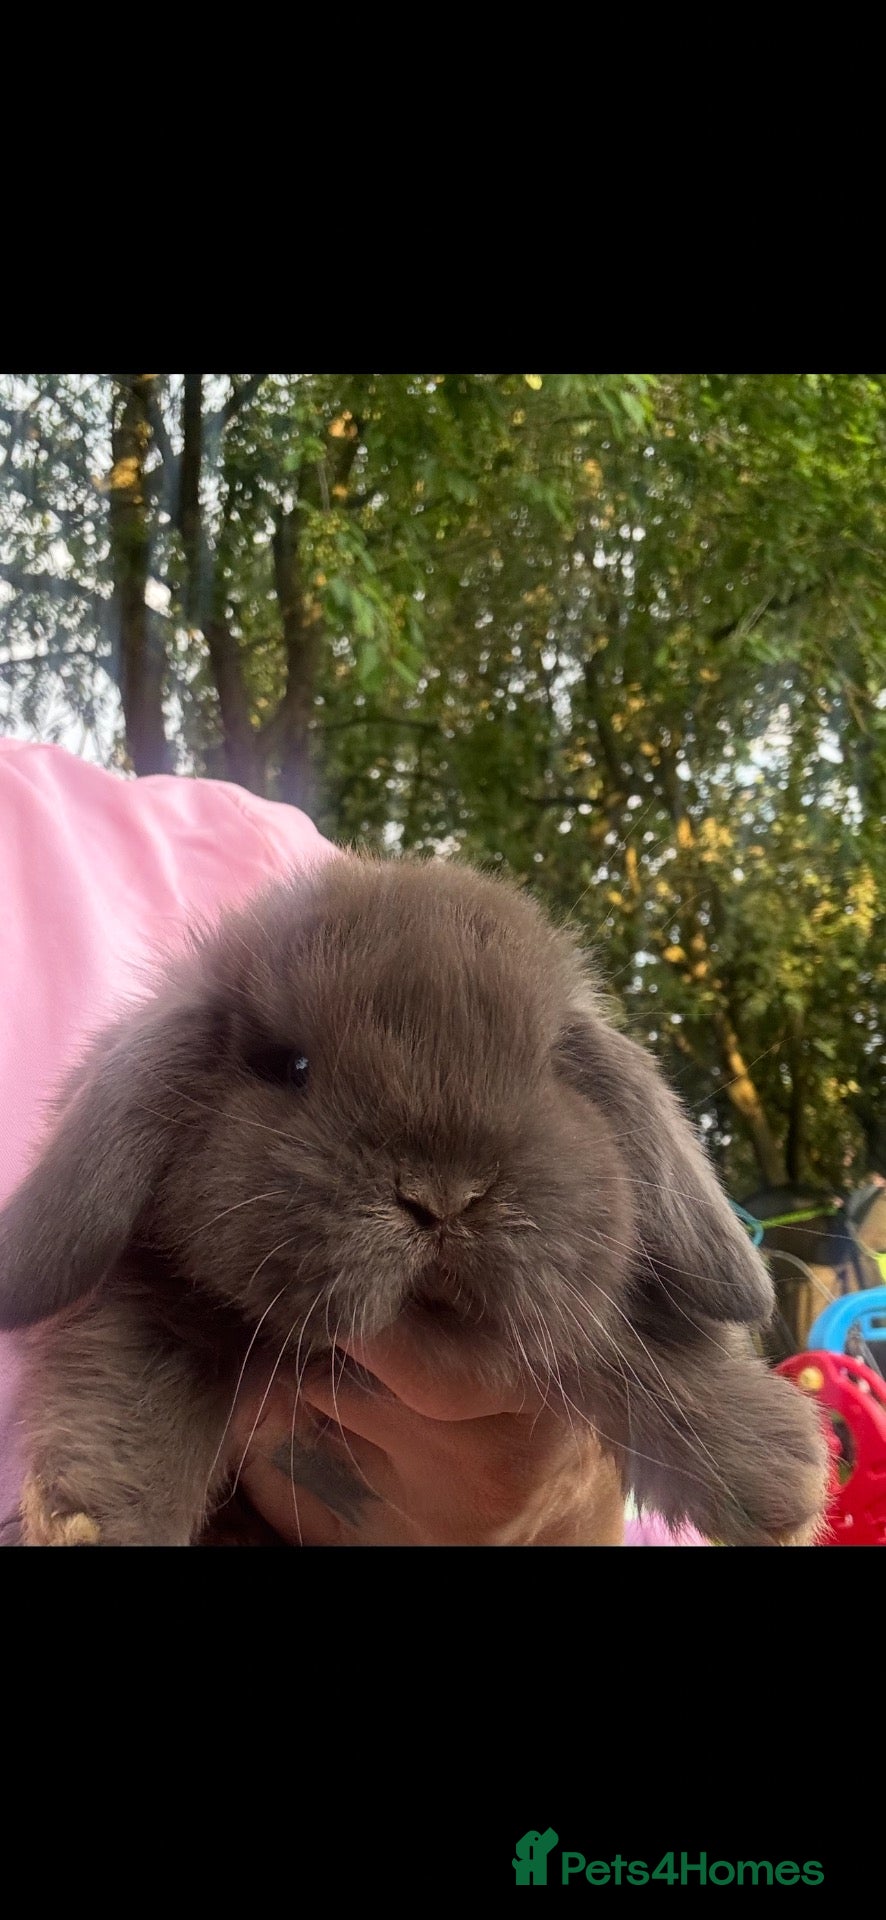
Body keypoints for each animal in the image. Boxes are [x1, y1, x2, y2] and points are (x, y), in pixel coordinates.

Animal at [0, 853, 829, 1547]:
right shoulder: (150, 1301)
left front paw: (778, 1479)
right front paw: (91, 1526)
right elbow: (130, 1400)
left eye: (547, 1068)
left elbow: (634, 1339)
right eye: (291, 1066)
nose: (444, 1197)